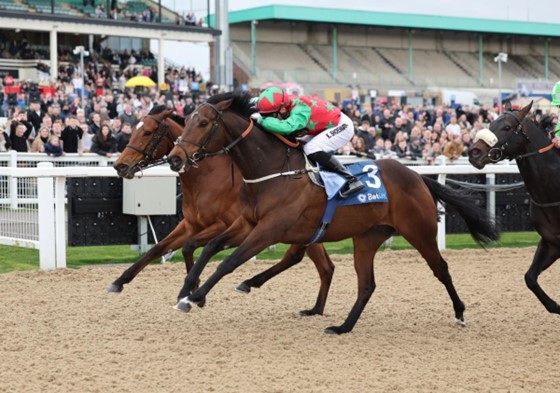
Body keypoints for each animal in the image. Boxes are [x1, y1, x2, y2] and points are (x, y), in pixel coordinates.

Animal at [111, 105, 334, 316]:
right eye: (133, 130)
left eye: (147, 132)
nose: (119, 165)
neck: (208, 176)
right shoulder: (191, 223)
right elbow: (159, 248)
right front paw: (120, 281)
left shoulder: (226, 224)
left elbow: (189, 246)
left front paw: (193, 293)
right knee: (323, 266)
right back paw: (314, 308)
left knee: (303, 259)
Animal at [166, 92, 498, 334]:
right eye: (188, 120)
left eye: (203, 123)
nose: (174, 157)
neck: (272, 171)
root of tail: (417, 177)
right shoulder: (247, 223)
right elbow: (210, 246)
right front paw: (186, 290)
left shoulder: (269, 229)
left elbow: (229, 262)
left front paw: (196, 296)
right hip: (367, 237)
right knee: (366, 285)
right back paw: (342, 327)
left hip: (420, 232)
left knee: (440, 269)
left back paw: (460, 313)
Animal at [468, 102, 560, 314]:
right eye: (491, 123)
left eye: (507, 127)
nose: (474, 152)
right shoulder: (551, 242)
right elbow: (530, 278)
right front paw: (556, 306)